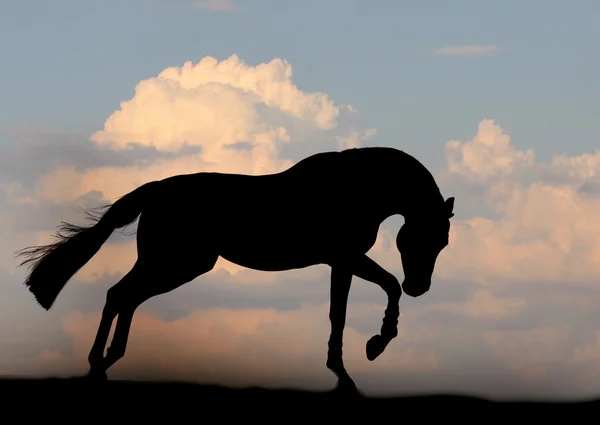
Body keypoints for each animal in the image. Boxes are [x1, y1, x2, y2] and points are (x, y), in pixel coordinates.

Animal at [15, 146, 454, 390]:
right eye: (420, 238)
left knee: (125, 296)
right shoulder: (346, 257)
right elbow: (380, 290)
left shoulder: (340, 262)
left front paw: (348, 367)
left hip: (171, 263)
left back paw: (105, 362)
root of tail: (155, 190)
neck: (358, 187)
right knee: (121, 295)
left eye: (444, 243)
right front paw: (373, 347)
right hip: (176, 263)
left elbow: (341, 312)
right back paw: (99, 363)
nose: (420, 287)